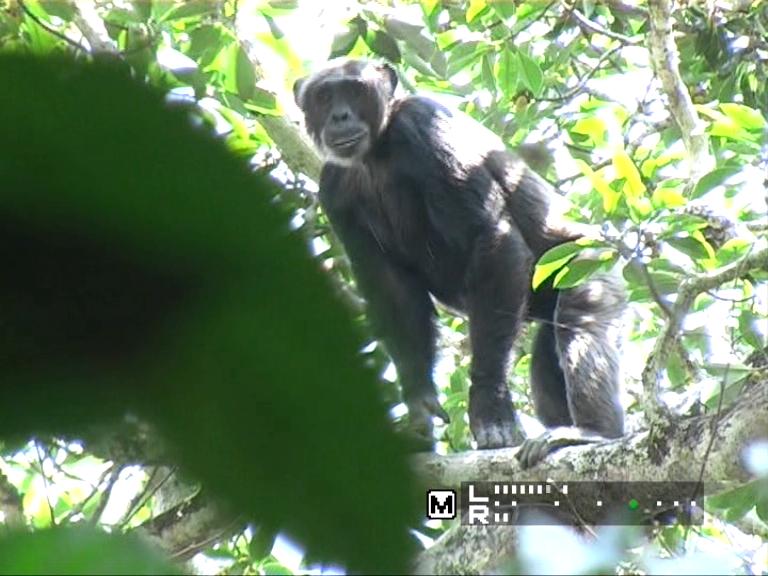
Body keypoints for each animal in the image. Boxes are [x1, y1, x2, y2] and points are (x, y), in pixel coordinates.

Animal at [294, 58, 624, 466]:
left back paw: (593, 431)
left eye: (354, 90)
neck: (377, 152)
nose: (340, 115)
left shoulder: (427, 129)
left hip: (589, 263)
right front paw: (419, 409)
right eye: (324, 97)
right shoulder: (333, 191)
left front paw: (490, 406)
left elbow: (493, 237)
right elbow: (393, 289)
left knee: (583, 320)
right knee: (546, 367)